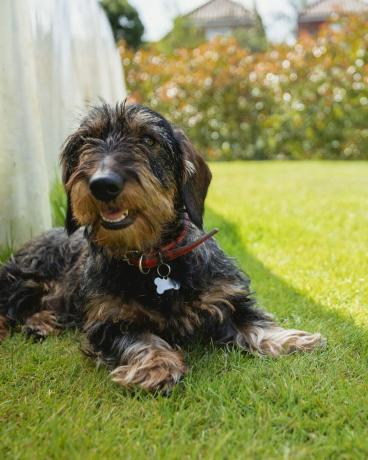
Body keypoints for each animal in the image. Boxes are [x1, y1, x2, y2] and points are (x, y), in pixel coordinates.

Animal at [0, 103, 324, 392]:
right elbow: (143, 340)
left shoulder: (227, 297)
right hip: (24, 280)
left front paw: (292, 339)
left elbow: (256, 322)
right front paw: (156, 366)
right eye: (84, 142)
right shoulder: (108, 321)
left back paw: (40, 323)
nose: (102, 184)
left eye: (148, 139)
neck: (154, 260)